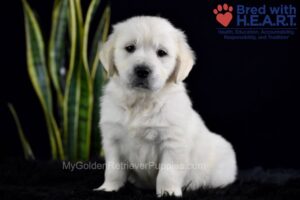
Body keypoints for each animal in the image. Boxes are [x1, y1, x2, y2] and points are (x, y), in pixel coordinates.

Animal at [95, 16, 238, 197]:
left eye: (161, 53)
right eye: (130, 48)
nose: (142, 70)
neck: (142, 101)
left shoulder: (173, 142)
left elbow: (168, 172)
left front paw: (168, 193)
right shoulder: (112, 140)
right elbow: (114, 170)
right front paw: (108, 188)